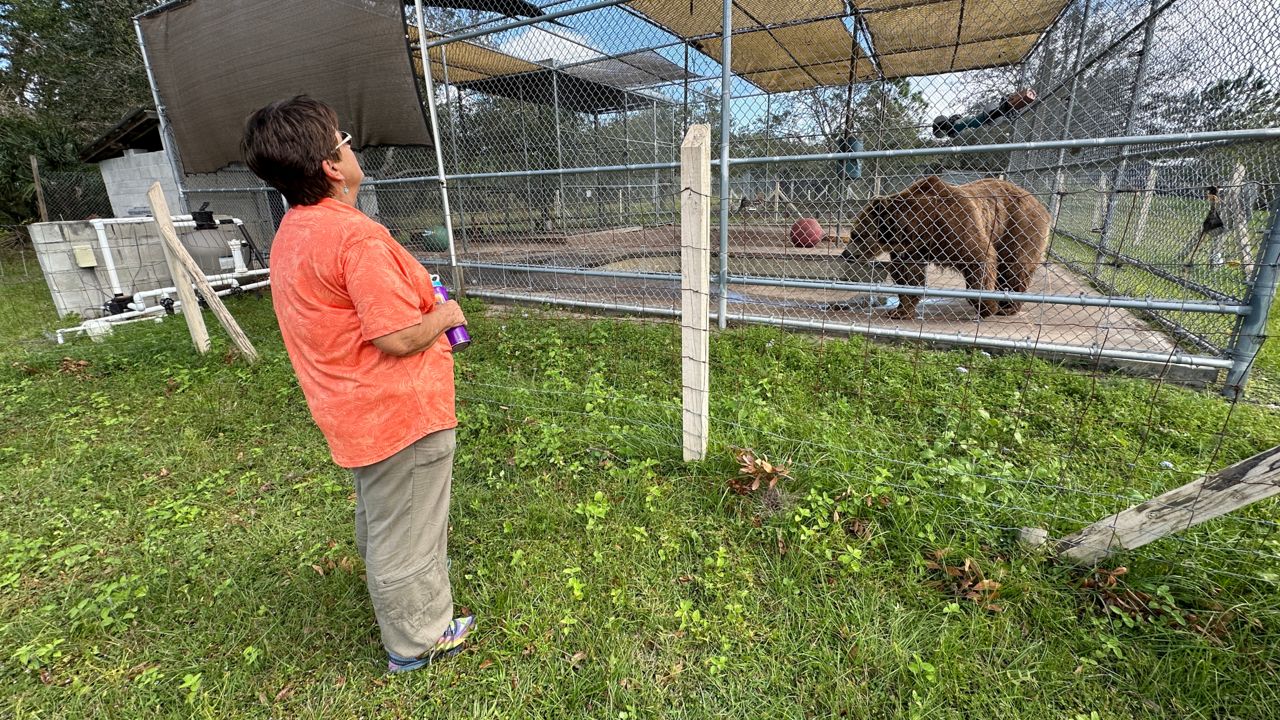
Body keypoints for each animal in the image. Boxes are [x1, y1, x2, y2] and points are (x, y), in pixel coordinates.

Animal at [839, 174, 1049, 316]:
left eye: (856, 234)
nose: (846, 254)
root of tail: (1040, 204)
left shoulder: (956, 225)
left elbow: (979, 258)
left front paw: (986, 306)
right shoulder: (913, 248)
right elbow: (909, 275)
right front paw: (900, 310)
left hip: (1018, 226)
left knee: (1015, 266)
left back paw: (1007, 307)